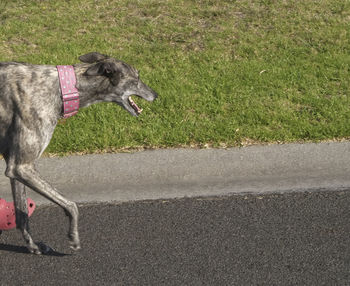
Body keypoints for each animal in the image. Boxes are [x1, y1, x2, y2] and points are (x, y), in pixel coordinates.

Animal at [0, 52, 157, 255]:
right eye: (136, 77)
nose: (156, 95)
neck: (60, 87)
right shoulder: (21, 167)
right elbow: (72, 205)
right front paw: (73, 237)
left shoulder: (15, 165)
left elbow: (22, 214)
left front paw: (33, 246)